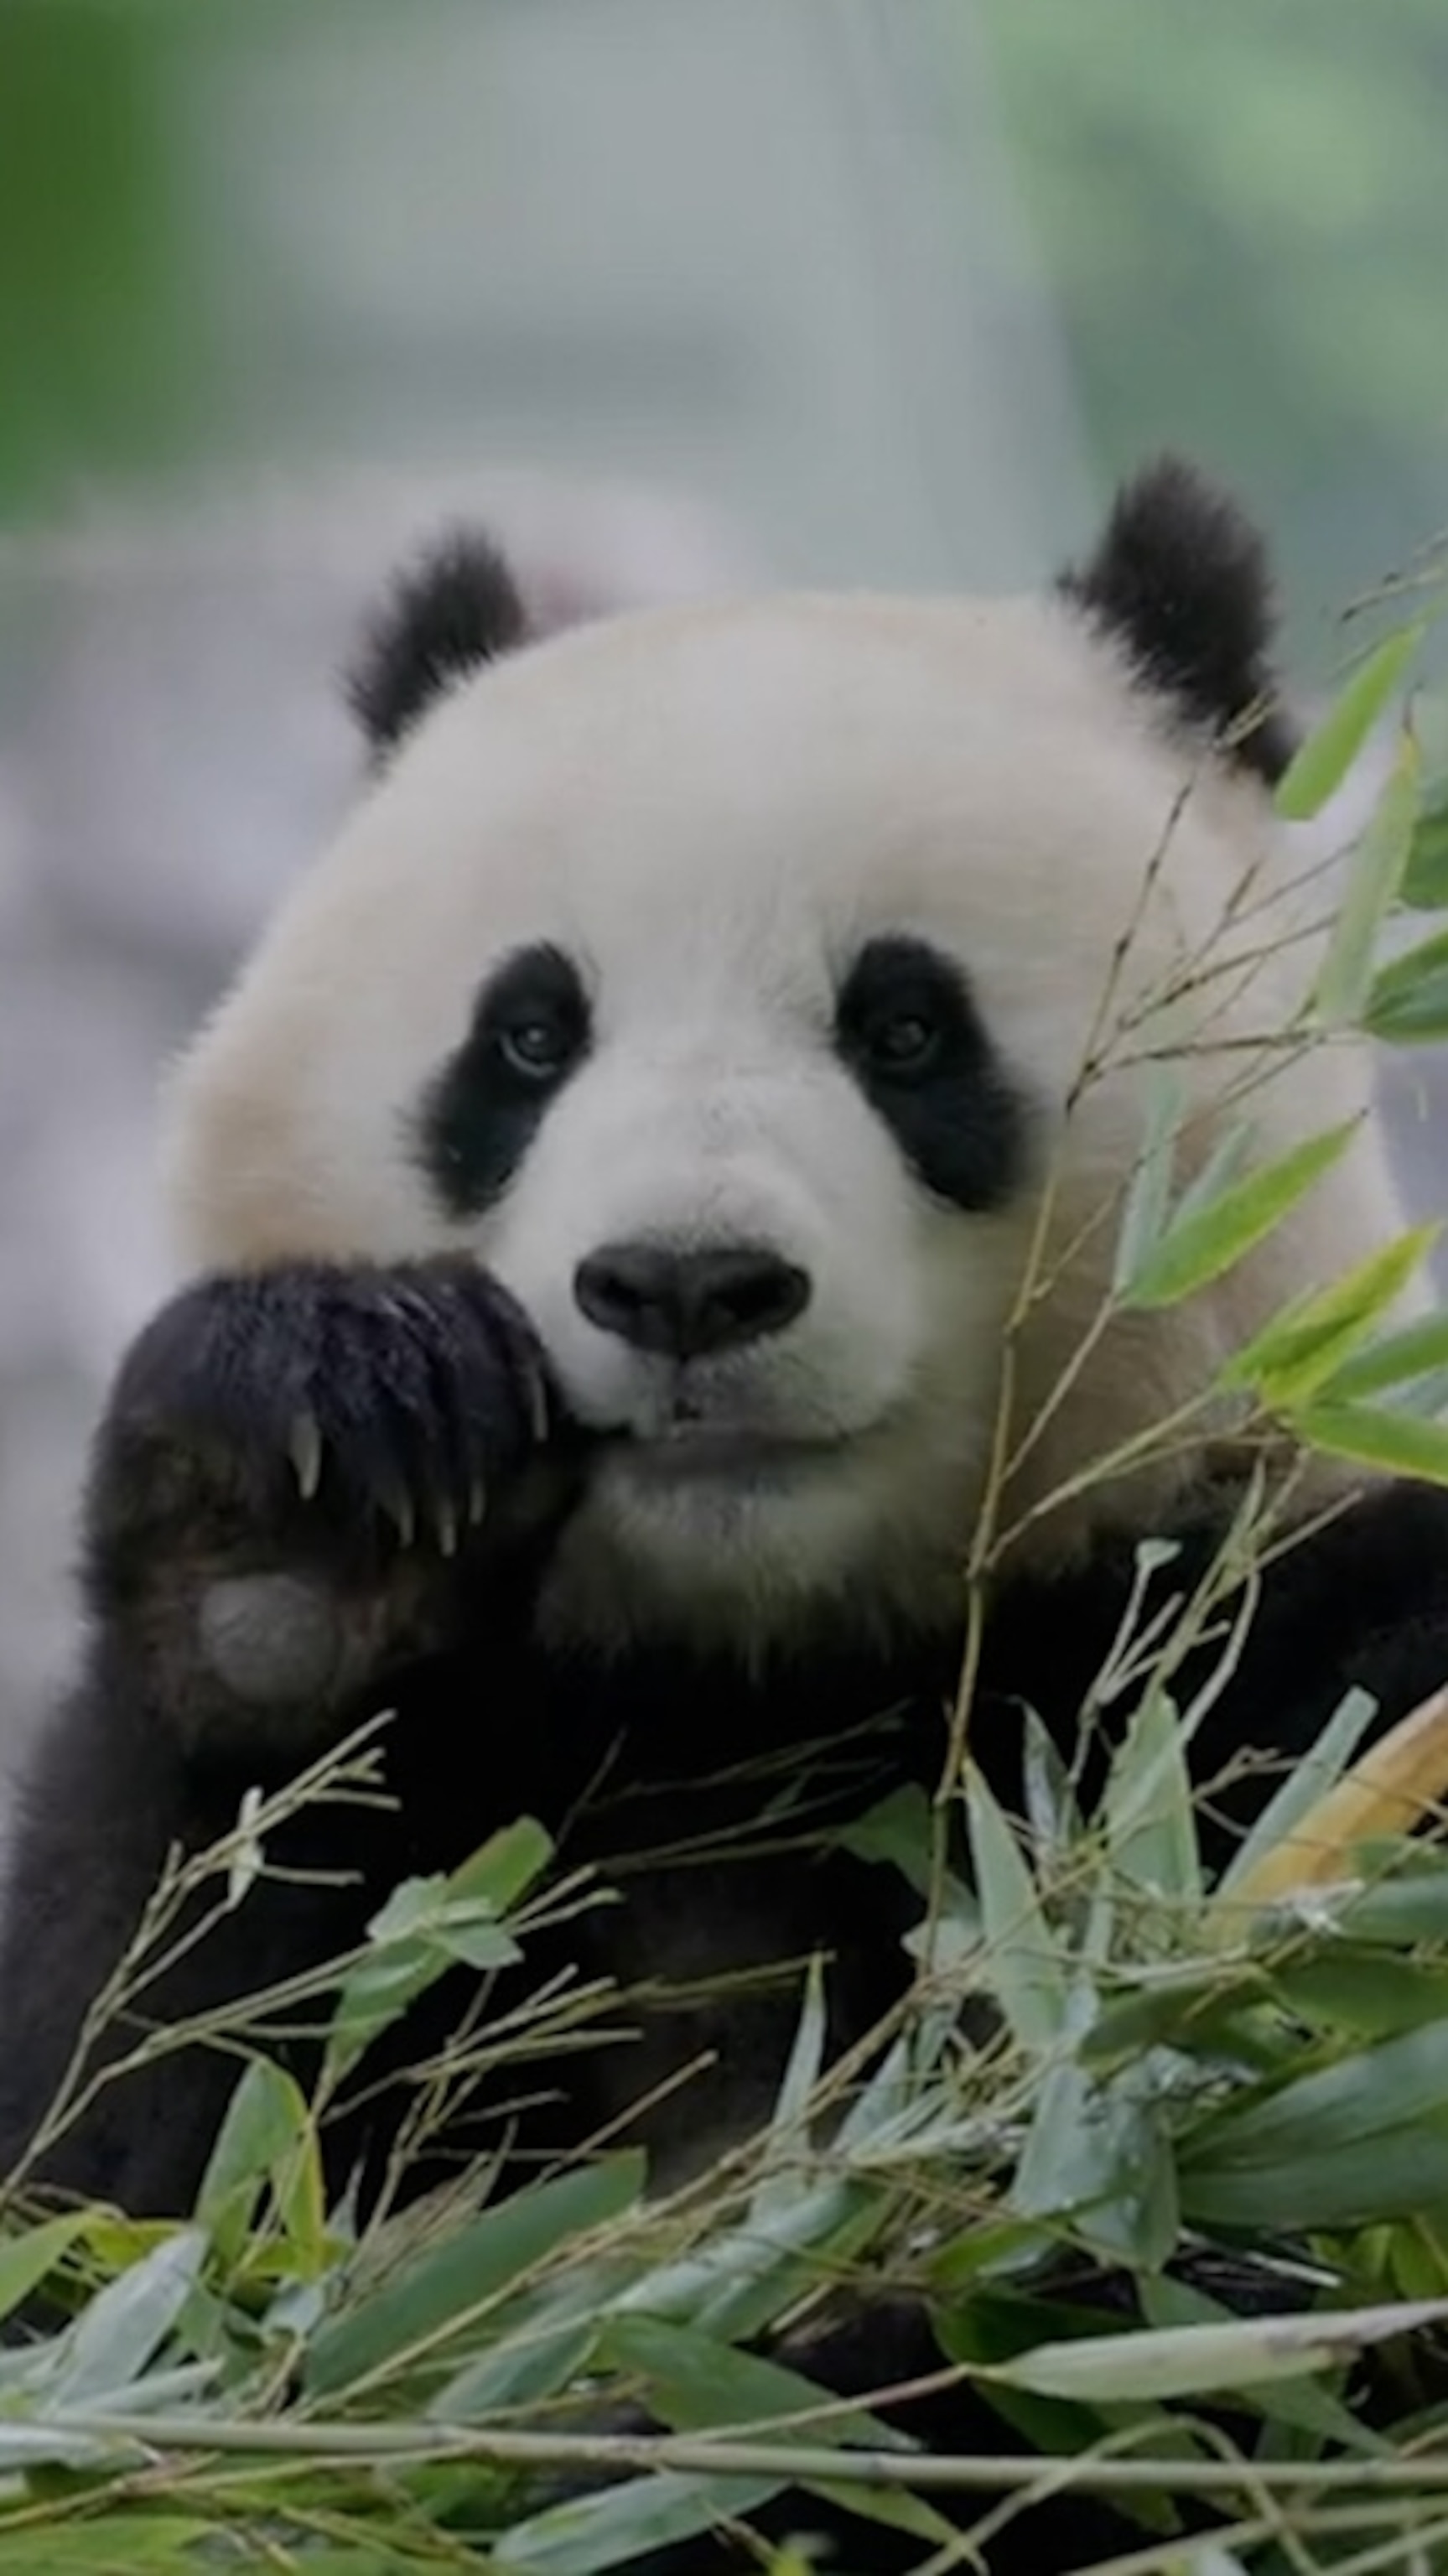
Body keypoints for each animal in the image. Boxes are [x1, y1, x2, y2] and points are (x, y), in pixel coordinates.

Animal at [3, 457, 1448, 2573]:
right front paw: (305, 1512)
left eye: (905, 1030)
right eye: (526, 1036)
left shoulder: (1282, 1684)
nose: (684, 1285)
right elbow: (131, 2198)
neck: (753, 1669)